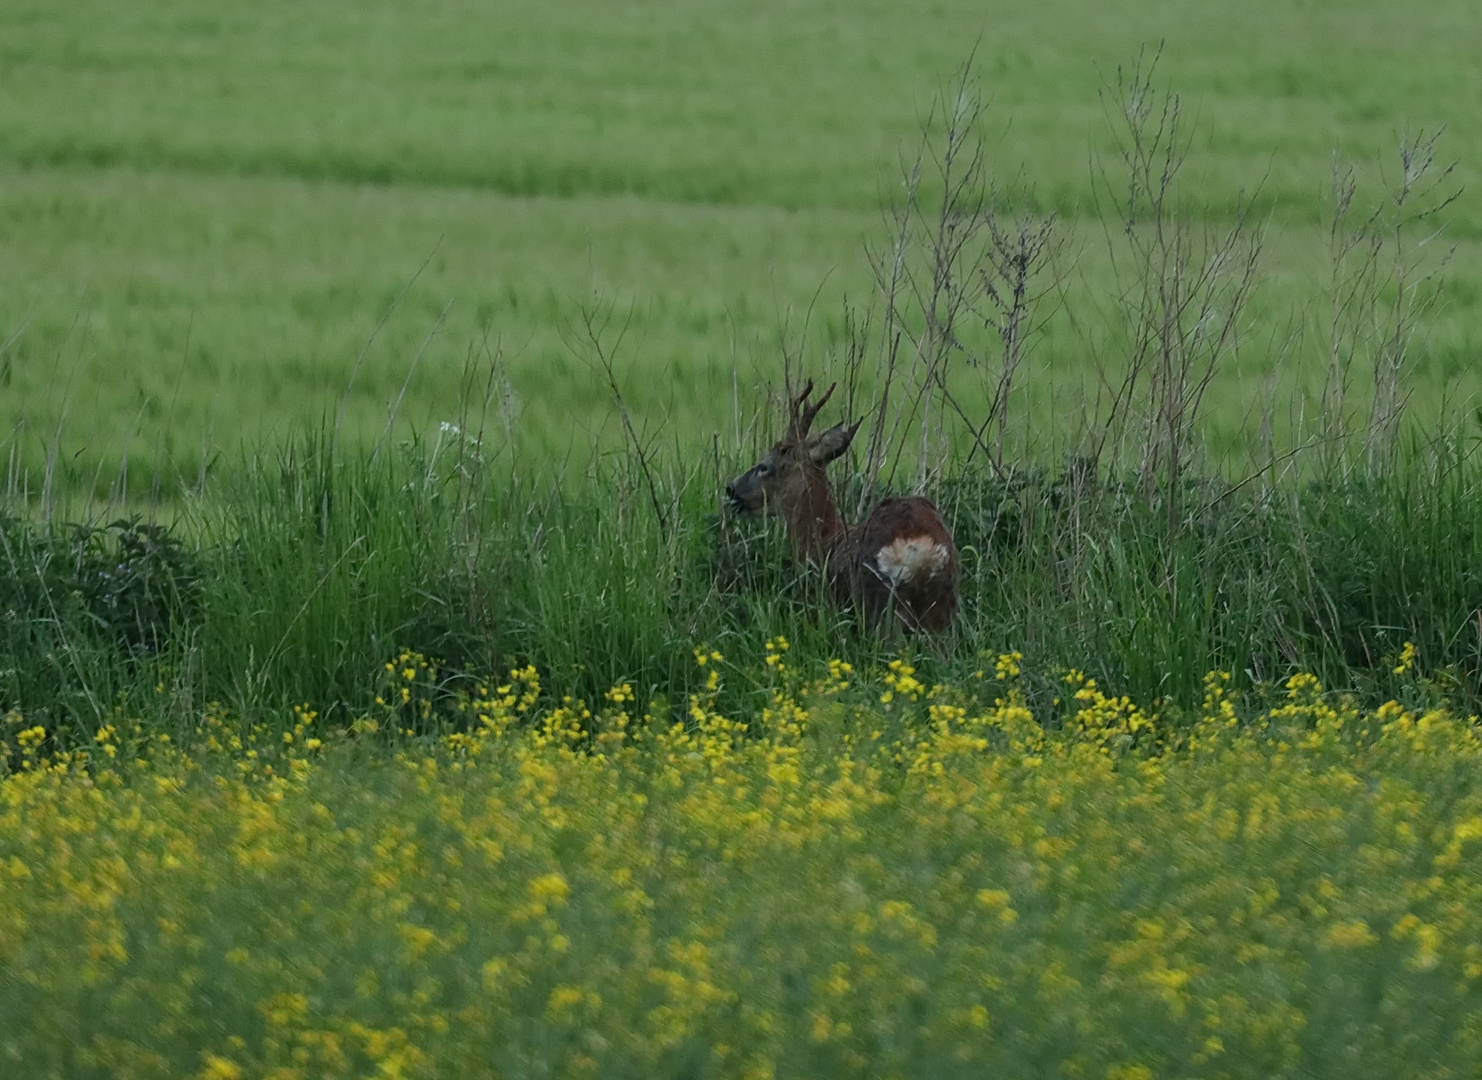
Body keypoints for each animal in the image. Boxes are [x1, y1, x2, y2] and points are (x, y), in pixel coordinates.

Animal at [720, 379, 954, 631]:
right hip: (942, 603)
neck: (820, 539)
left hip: (878, 602)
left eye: (764, 466)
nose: (731, 488)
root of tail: (915, 542)